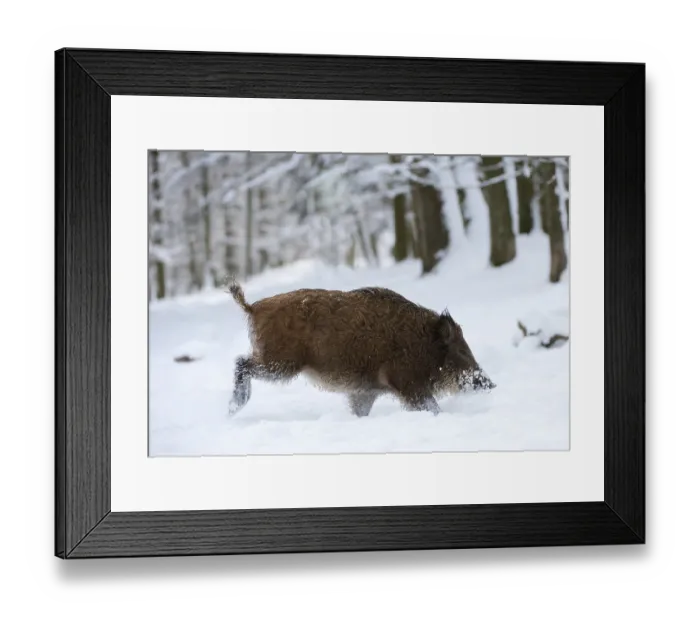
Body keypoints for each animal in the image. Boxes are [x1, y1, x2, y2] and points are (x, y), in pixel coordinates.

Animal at [227, 280, 495, 418]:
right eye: (461, 351)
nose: (491, 384)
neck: (423, 345)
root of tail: (253, 308)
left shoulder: (364, 391)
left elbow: (359, 411)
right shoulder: (407, 383)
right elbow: (432, 407)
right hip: (280, 364)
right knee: (241, 362)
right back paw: (235, 407)